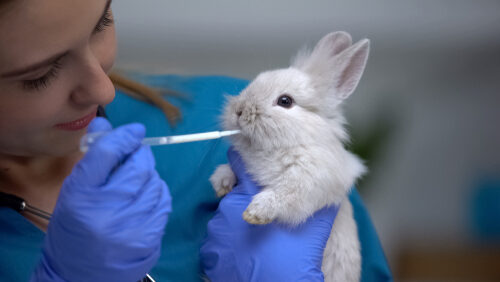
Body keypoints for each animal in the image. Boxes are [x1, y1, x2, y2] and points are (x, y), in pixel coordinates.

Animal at [209, 31, 370, 282]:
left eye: (285, 101)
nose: (239, 110)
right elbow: (229, 171)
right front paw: (221, 183)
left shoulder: (309, 181)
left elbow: (283, 195)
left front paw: (254, 212)